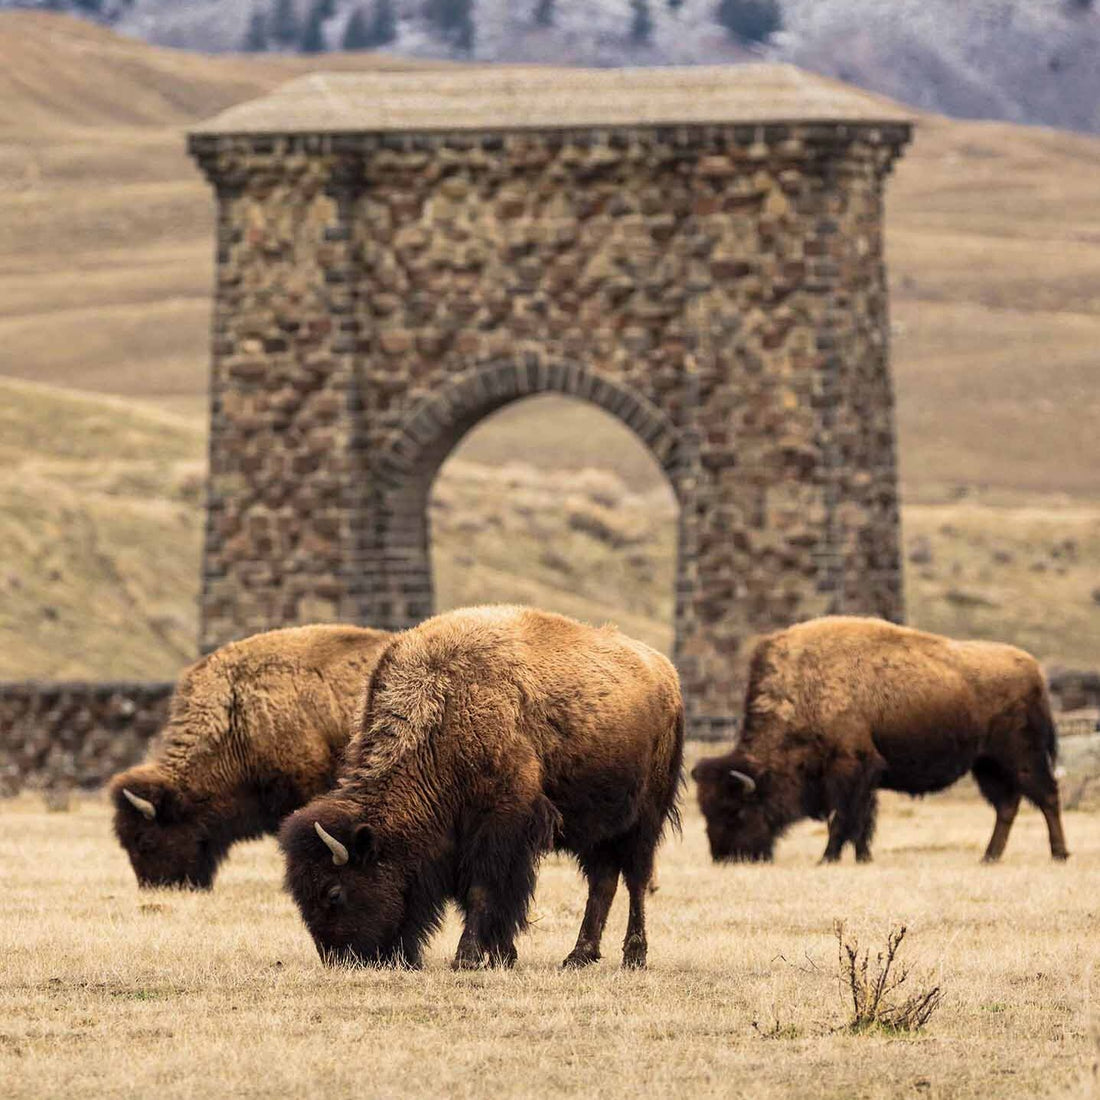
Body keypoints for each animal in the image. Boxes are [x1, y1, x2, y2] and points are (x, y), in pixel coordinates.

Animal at [279, 605, 684, 970]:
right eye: (299, 896)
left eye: (334, 892)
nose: (340, 960)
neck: (443, 707)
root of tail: (666, 674)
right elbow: (487, 896)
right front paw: (501, 955)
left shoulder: (498, 826)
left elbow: (483, 890)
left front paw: (469, 957)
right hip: (599, 828)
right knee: (602, 882)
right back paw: (578, 956)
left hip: (644, 821)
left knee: (635, 880)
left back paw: (633, 956)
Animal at [691, 616, 1068, 864]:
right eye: (706, 810)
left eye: (736, 811)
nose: (725, 857)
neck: (804, 691)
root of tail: (1035, 670)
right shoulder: (866, 773)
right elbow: (861, 820)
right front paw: (862, 857)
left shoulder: (850, 766)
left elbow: (843, 817)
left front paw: (827, 858)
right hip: (987, 765)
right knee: (1007, 805)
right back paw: (989, 856)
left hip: (1021, 758)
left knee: (1046, 796)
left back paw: (1058, 854)